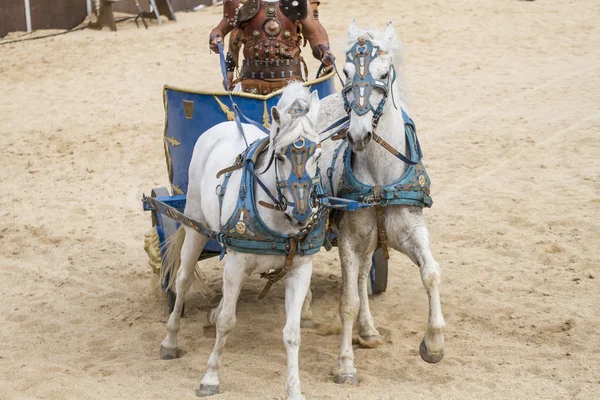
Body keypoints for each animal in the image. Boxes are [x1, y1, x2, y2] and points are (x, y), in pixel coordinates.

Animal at [157, 82, 322, 400]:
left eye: (318, 154)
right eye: (280, 156)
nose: (302, 213)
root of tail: (226, 123)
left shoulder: (300, 270)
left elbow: (292, 333)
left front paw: (294, 388)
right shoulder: (234, 264)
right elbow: (227, 323)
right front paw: (210, 377)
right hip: (195, 224)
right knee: (182, 281)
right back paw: (170, 341)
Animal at [314, 21, 446, 382]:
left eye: (385, 73)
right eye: (346, 72)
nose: (357, 135)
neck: (378, 182)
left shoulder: (412, 233)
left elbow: (431, 273)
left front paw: (434, 343)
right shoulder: (348, 239)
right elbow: (347, 302)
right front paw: (345, 364)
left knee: (362, 278)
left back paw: (369, 330)